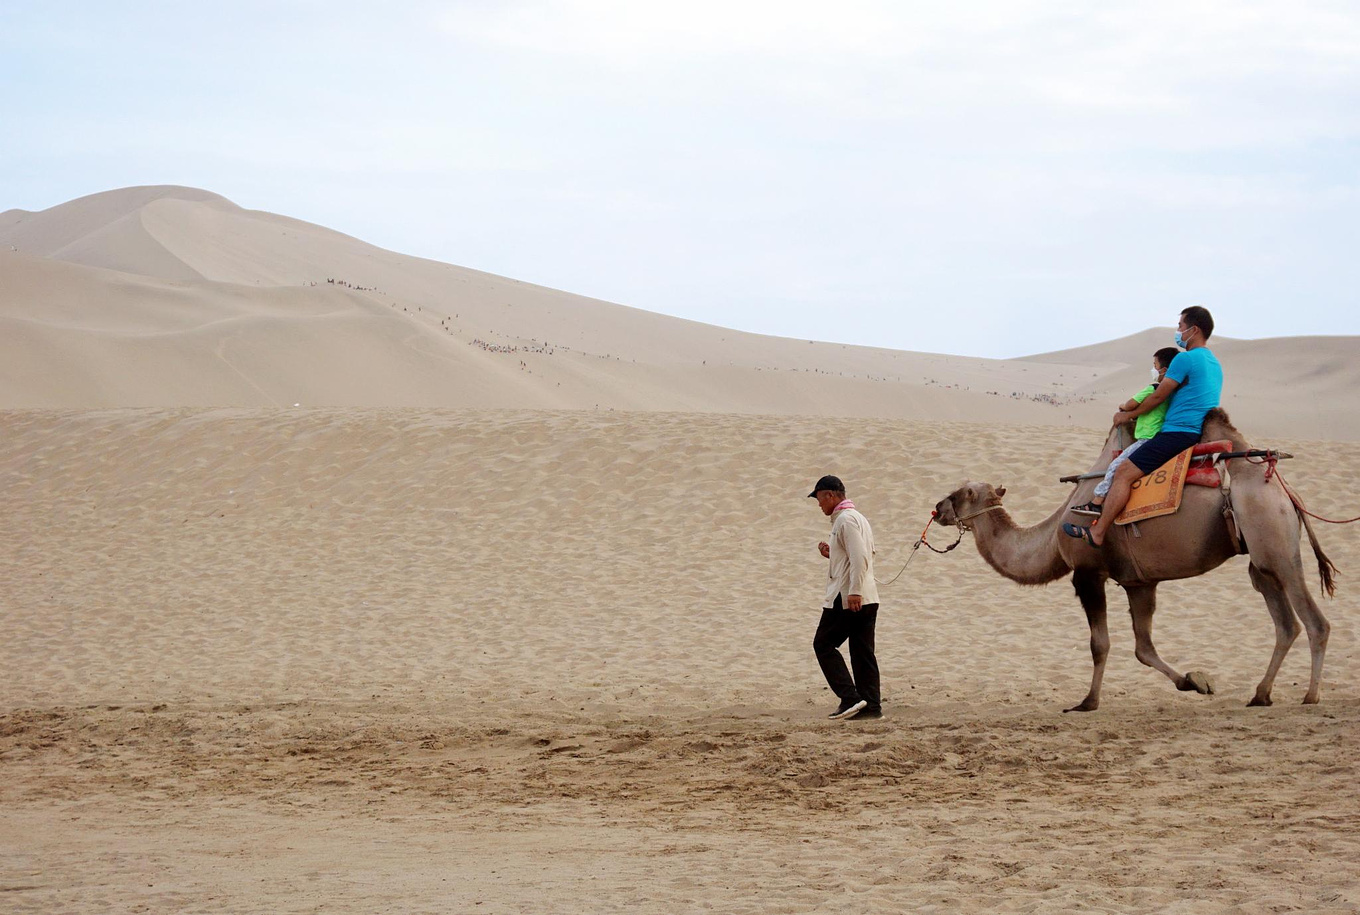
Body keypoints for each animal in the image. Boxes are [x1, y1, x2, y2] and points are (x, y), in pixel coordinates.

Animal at [935, 407, 1338, 712]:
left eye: (959, 494)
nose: (937, 508)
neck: (1054, 534)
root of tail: (1286, 491)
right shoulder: (1139, 582)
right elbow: (1144, 647)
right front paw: (1194, 682)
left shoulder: (1087, 573)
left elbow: (1100, 644)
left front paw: (1087, 702)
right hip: (1260, 557)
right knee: (1284, 621)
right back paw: (1260, 695)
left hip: (1275, 541)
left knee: (1313, 620)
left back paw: (1310, 695)